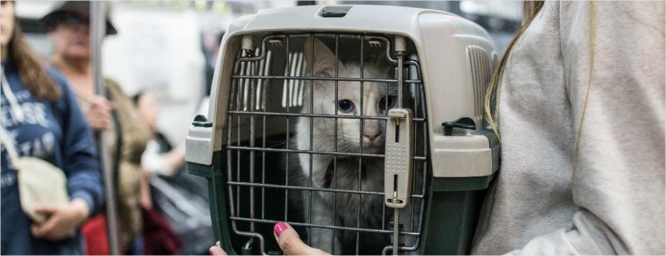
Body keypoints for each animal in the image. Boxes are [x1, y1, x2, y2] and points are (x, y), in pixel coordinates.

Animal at [187, 4, 498, 256]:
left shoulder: (408, 212)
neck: (358, 172)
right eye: (345, 106)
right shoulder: (319, 209)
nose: (371, 132)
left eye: (387, 103)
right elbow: (326, 244)